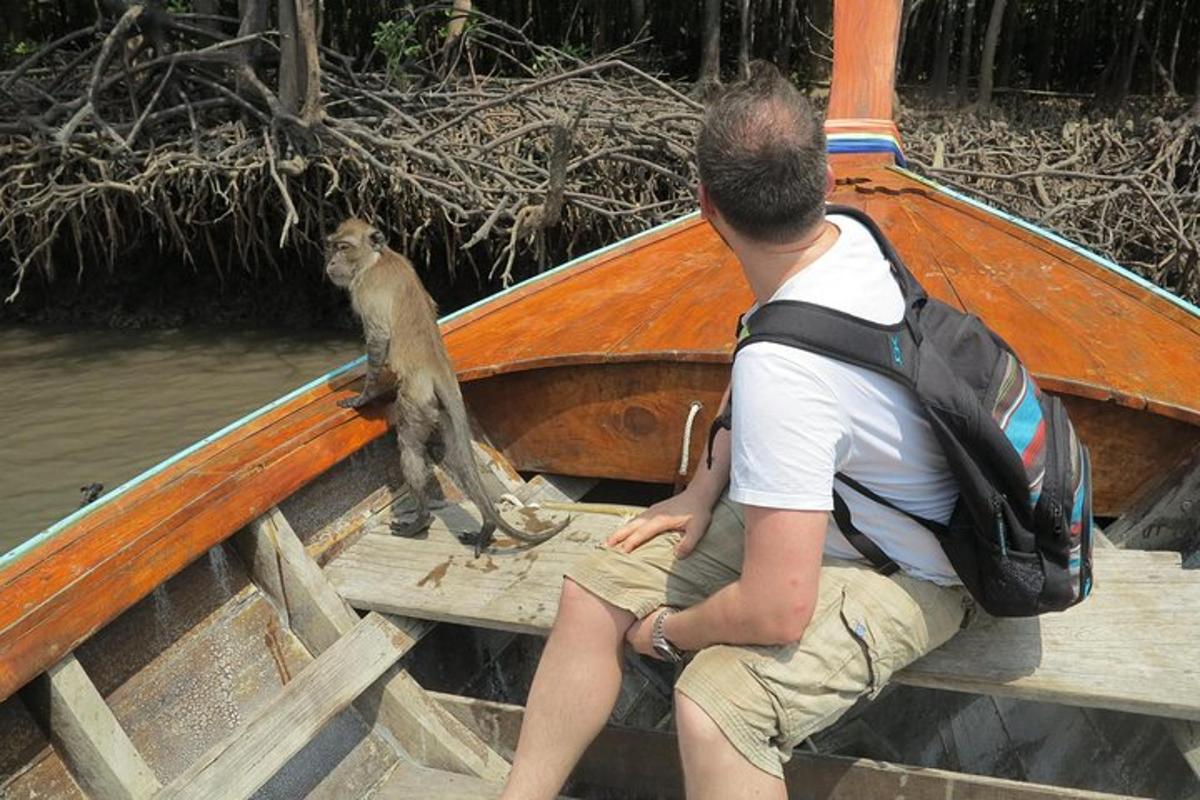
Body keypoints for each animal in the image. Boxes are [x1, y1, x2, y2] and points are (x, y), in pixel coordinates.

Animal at [324, 219, 571, 556]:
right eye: (332, 246)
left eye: (344, 247)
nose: (330, 262)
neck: (377, 258)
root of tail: (439, 370)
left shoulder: (365, 291)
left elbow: (378, 339)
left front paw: (363, 397)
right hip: (440, 408)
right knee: (457, 458)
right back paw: (487, 525)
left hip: (416, 402)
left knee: (411, 449)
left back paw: (421, 520)